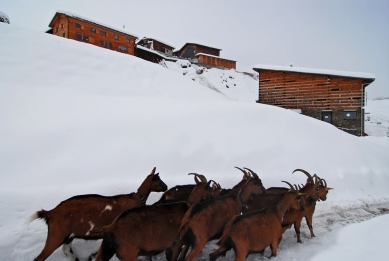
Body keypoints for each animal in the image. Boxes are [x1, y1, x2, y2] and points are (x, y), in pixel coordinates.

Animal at [27, 167, 167, 260]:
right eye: (158, 180)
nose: (166, 187)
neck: (136, 198)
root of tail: (50, 213)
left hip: (68, 236)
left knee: (67, 251)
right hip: (56, 235)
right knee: (40, 258)